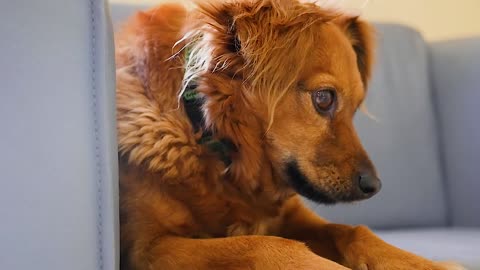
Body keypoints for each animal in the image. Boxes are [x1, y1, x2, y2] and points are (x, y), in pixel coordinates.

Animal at [115, 1, 462, 268]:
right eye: (324, 98)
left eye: (356, 107)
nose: (374, 186)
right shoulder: (148, 247)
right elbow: (263, 244)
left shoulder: (294, 217)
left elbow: (353, 231)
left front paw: (426, 264)